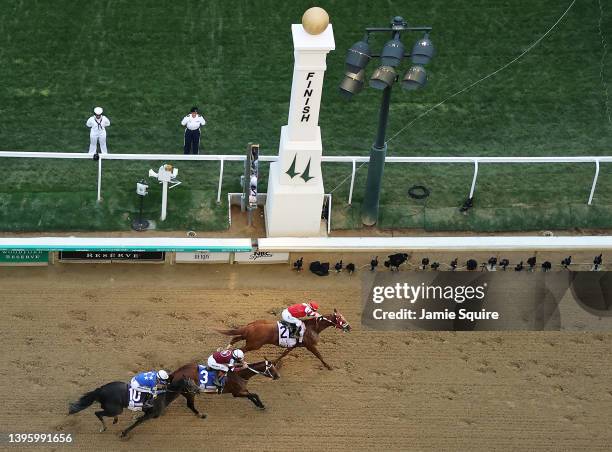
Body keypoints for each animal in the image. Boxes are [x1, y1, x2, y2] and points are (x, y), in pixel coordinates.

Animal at [69, 378, 198, 438]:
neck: (164, 395)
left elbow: (137, 418)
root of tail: (100, 390)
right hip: (115, 409)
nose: (198, 390)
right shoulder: (150, 414)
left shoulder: (146, 411)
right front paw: (123, 433)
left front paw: (133, 417)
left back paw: (114, 420)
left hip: (114, 408)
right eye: (190, 384)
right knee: (97, 413)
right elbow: (137, 423)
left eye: (194, 382)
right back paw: (104, 427)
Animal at [218, 310, 352, 370]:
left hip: (248, 338)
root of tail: (251, 325)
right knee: (238, 349)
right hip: (254, 344)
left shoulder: (293, 345)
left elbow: (284, 354)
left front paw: (274, 363)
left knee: (235, 338)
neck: (312, 327)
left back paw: (224, 350)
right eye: (341, 319)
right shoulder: (310, 345)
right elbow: (319, 355)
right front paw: (328, 366)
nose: (349, 327)